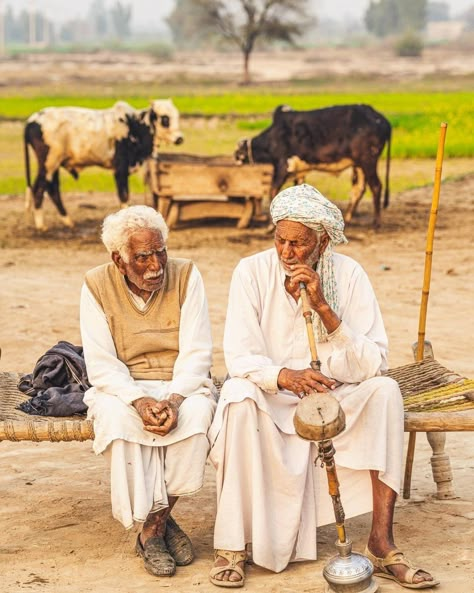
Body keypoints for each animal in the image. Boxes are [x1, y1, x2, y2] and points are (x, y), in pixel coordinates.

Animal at [23, 99, 183, 229]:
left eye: (176, 116)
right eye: (165, 118)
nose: (180, 138)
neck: (134, 126)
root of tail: (32, 119)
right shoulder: (120, 170)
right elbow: (124, 196)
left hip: (54, 165)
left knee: (53, 189)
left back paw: (68, 221)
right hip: (48, 163)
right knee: (39, 188)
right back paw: (41, 225)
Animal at [234, 104, 392, 227]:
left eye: (240, 154)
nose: (235, 157)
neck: (273, 137)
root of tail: (382, 120)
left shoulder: (283, 165)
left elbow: (273, 191)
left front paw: (270, 226)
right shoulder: (299, 171)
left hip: (368, 161)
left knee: (376, 186)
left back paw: (376, 223)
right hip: (359, 164)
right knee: (358, 189)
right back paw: (347, 219)